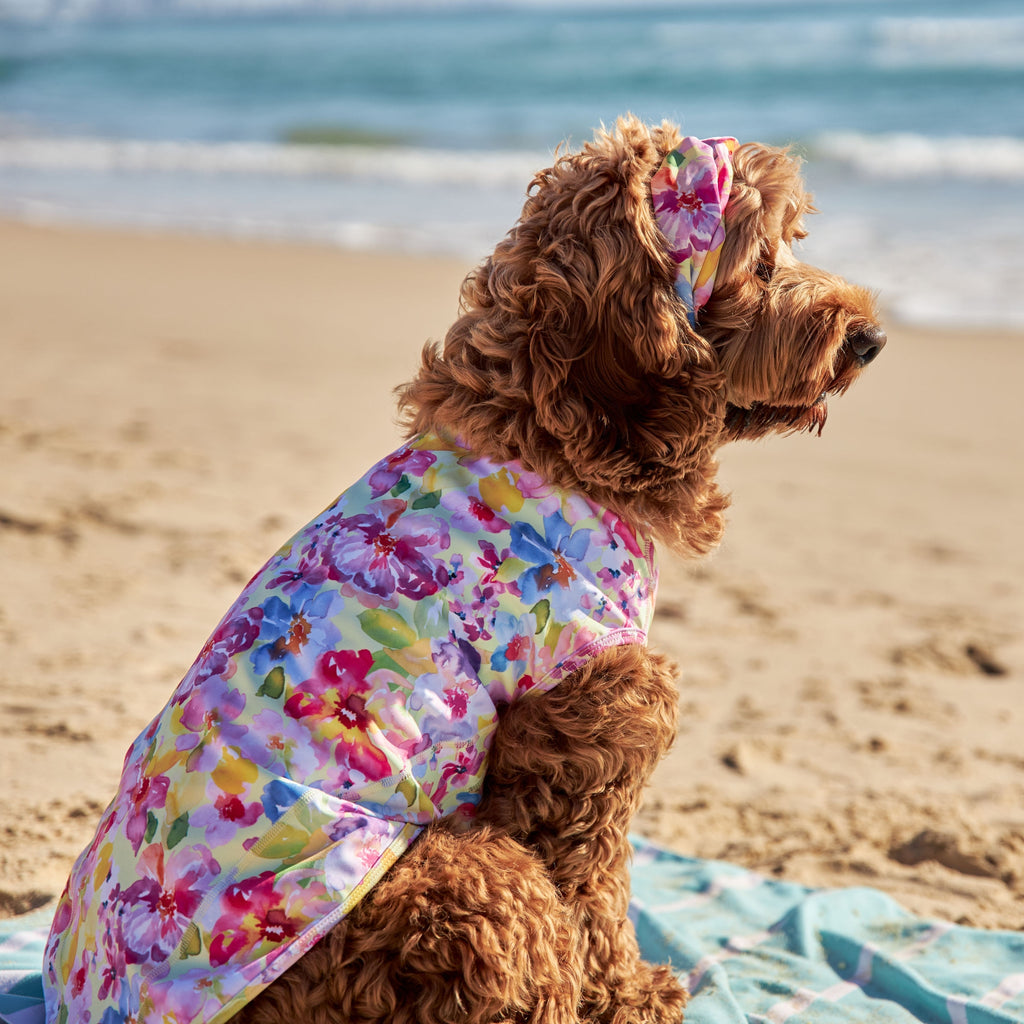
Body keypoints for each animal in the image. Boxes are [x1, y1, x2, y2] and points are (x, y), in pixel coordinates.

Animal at [44, 116, 884, 1019]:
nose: (871, 338)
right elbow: (597, 891)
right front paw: (630, 993)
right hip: (481, 881)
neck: (549, 435)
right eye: (760, 262)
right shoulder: (593, 731)